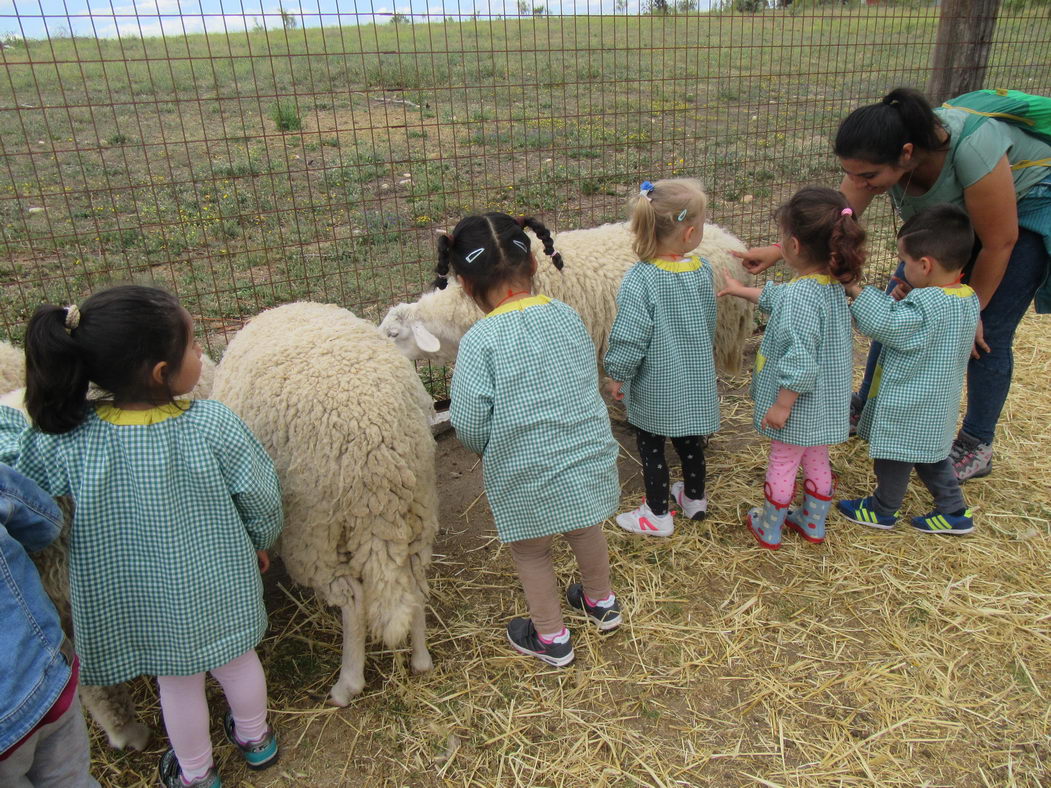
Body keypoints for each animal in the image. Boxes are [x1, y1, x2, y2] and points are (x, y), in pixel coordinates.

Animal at [209, 302, 439, 710]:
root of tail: (375, 444)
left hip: (312, 530)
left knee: (353, 599)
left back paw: (347, 684)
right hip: (417, 507)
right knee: (413, 579)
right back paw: (421, 659)